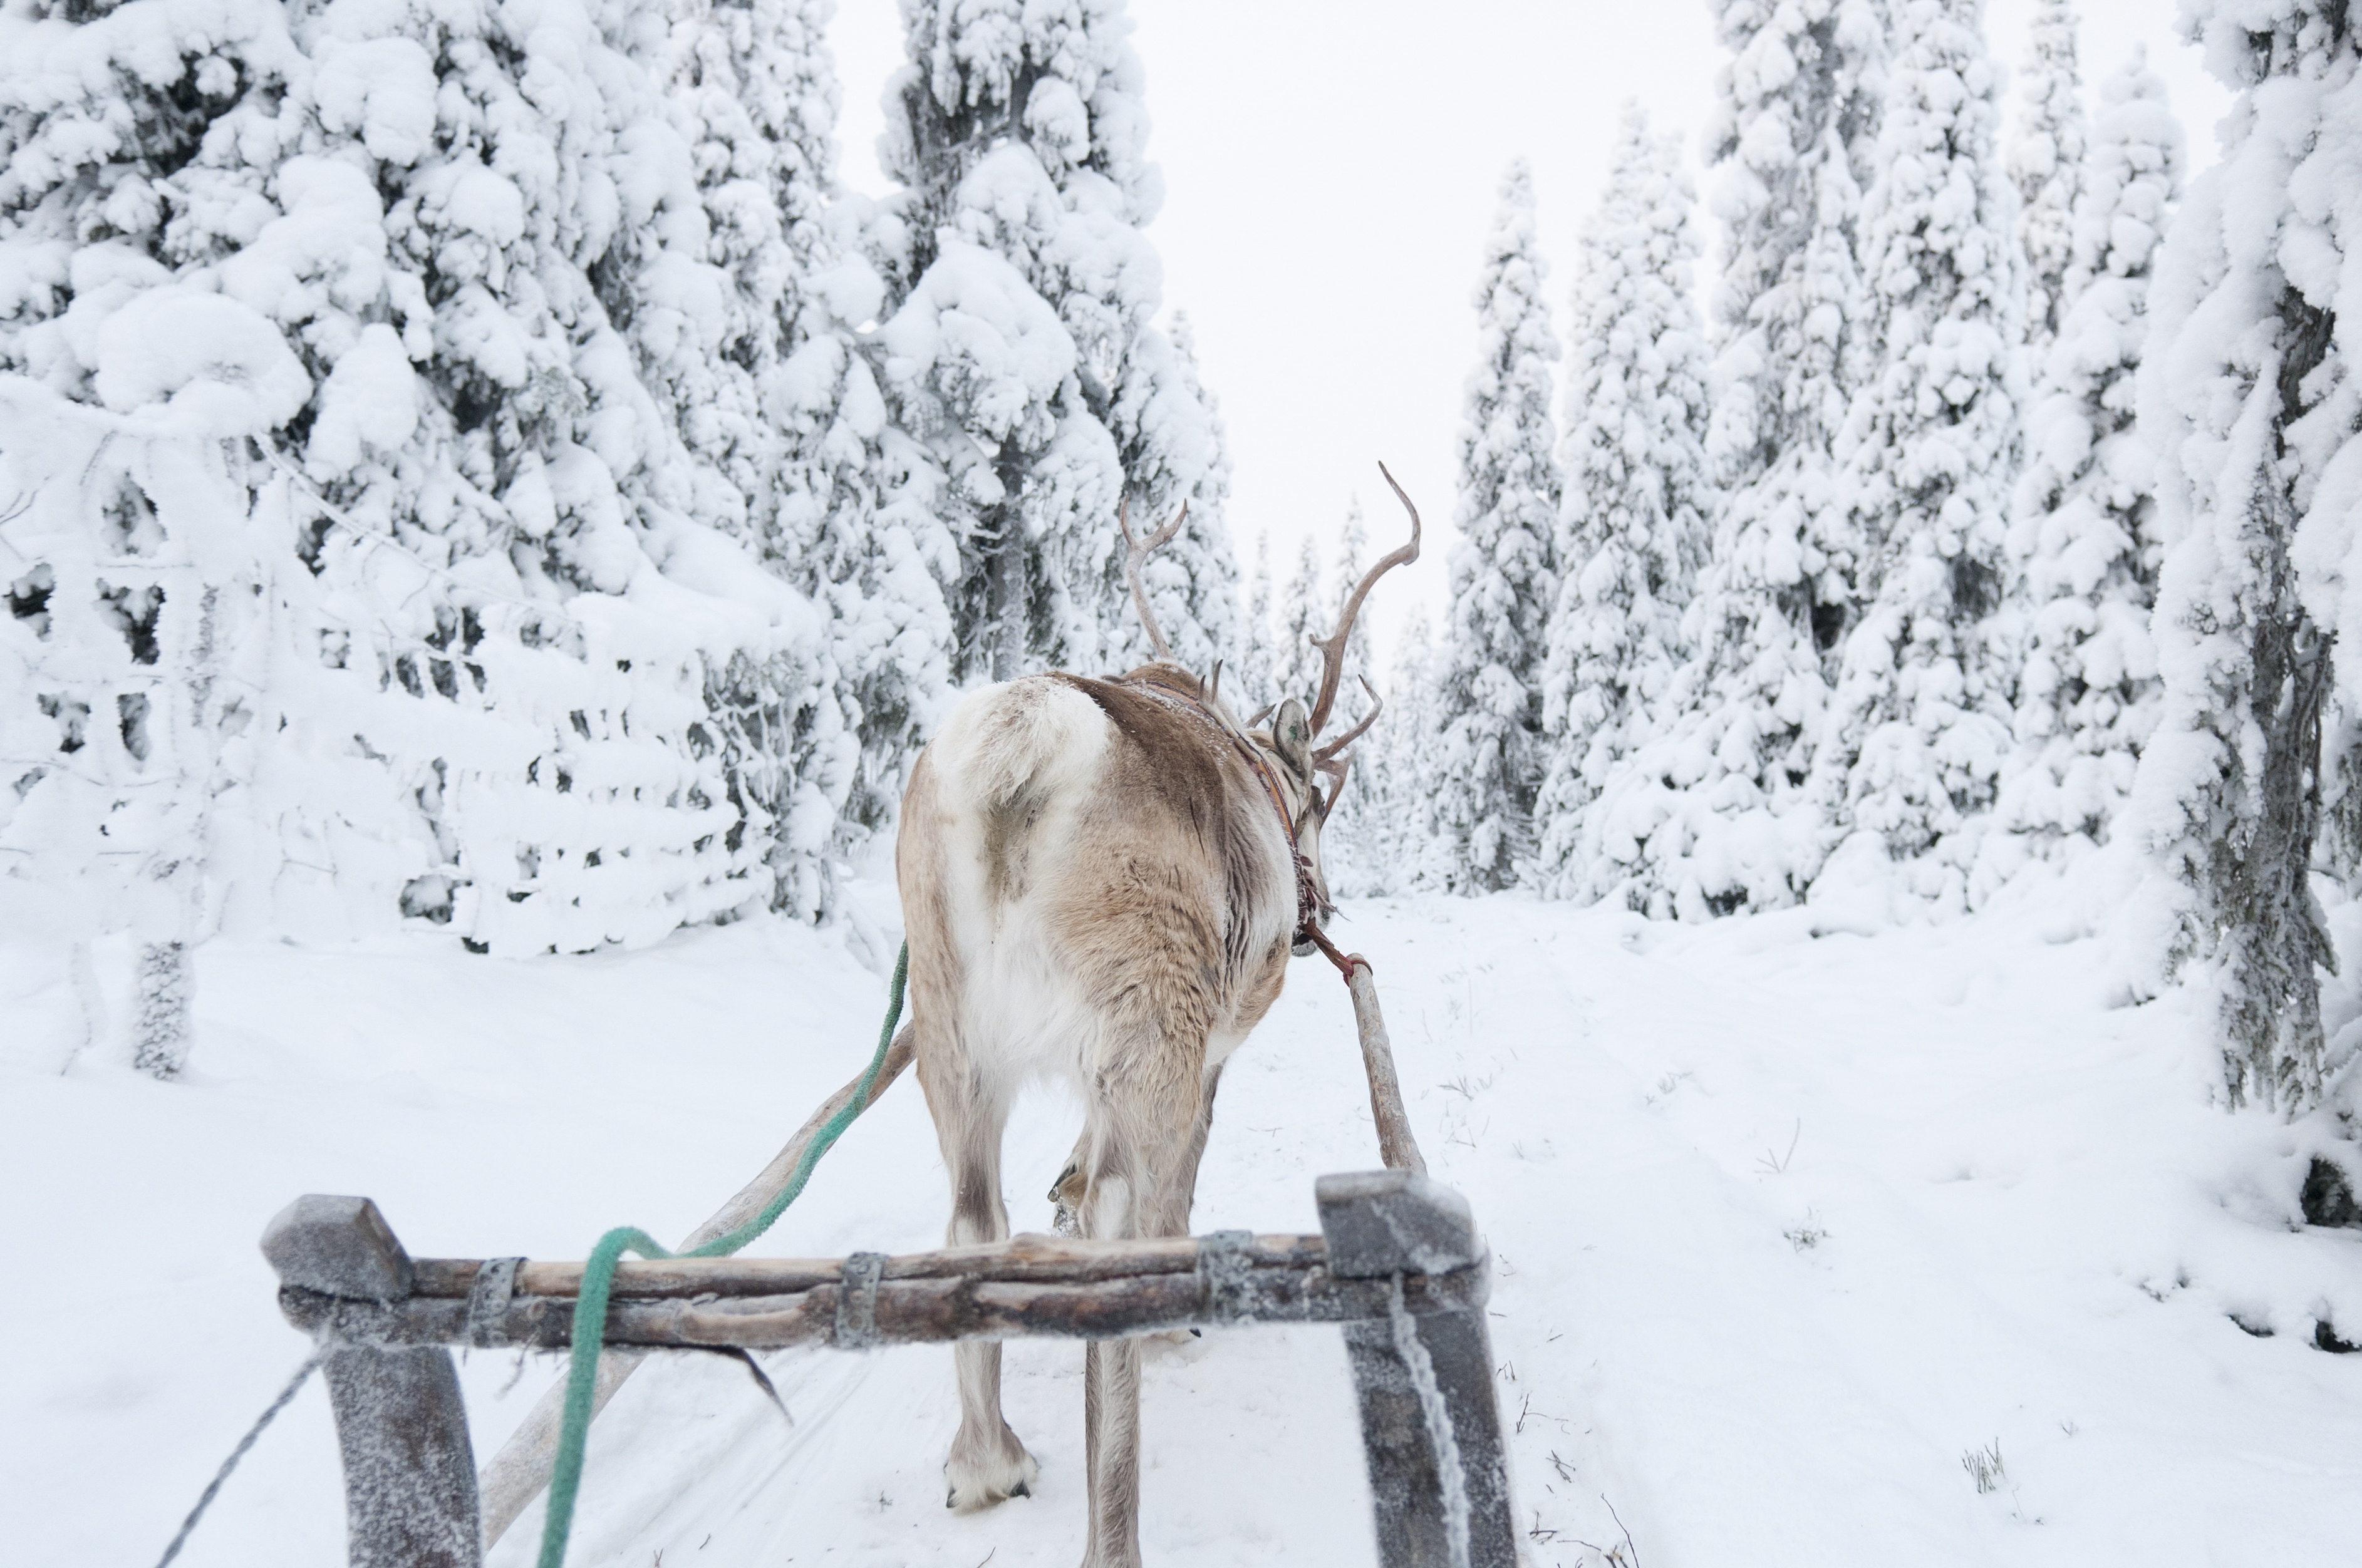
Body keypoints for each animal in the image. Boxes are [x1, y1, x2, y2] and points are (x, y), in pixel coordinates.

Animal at [892, 466, 1421, 1568]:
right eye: (1312, 806)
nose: (1320, 914)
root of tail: (1023, 745)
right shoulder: (1216, 1041)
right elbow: (1182, 1167)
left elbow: (1067, 1170)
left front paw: (1056, 1185)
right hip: (1153, 1011)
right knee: (1115, 1218)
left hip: (949, 1022)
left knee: (972, 1209)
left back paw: (986, 1464)